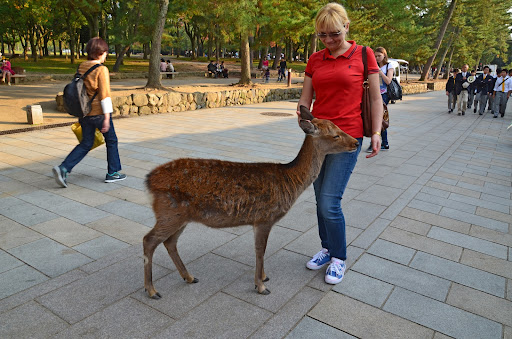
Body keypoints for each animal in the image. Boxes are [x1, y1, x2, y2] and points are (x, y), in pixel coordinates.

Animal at [143, 105, 360, 298]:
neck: (289, 182)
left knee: (170, 242)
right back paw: (152, 290)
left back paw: (189, 277)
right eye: (335, 135)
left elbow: (261, 250)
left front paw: (263, 278)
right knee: (149, 240)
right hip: (169, 212)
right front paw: (261, 286)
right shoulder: (264, 218)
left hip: (181, 216)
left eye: (339, 128)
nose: (356, 143)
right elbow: (260, 250)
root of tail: (149, 180)